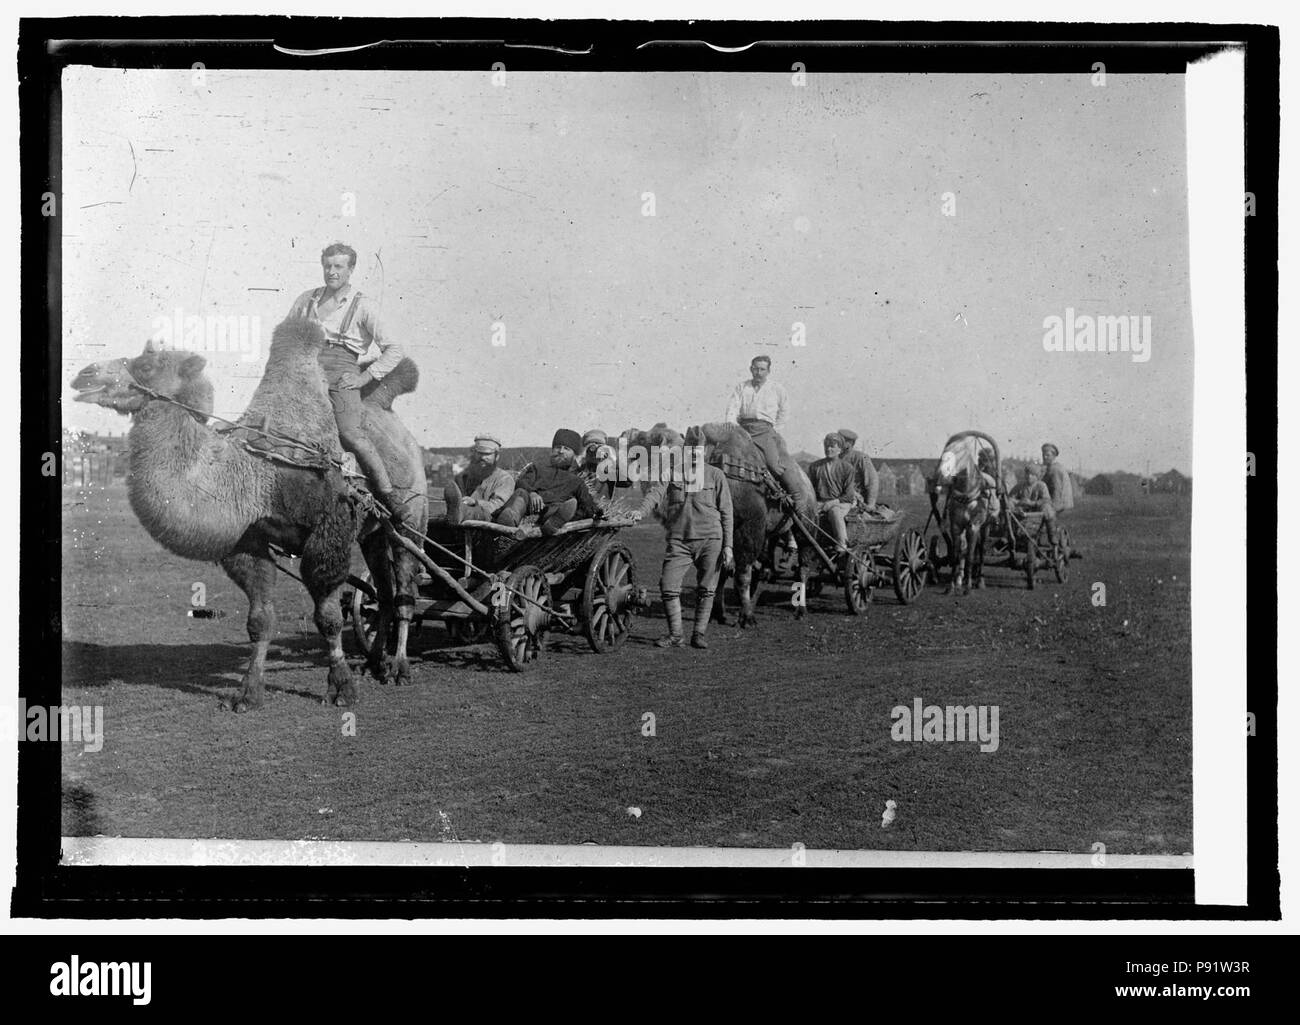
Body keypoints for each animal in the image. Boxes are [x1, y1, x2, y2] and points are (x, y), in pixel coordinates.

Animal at [71, 319, 428, 712]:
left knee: (405, 590)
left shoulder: (328, 531)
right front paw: (247, 693)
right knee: (382, 589)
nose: (83, 375)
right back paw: (373, 663)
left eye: (147, 365)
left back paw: (399, 668)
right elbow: (260, 620)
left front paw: (341, 688)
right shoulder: (249, 541)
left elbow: (329, 618)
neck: (257, 471)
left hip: (412, 519)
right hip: (371, 533)